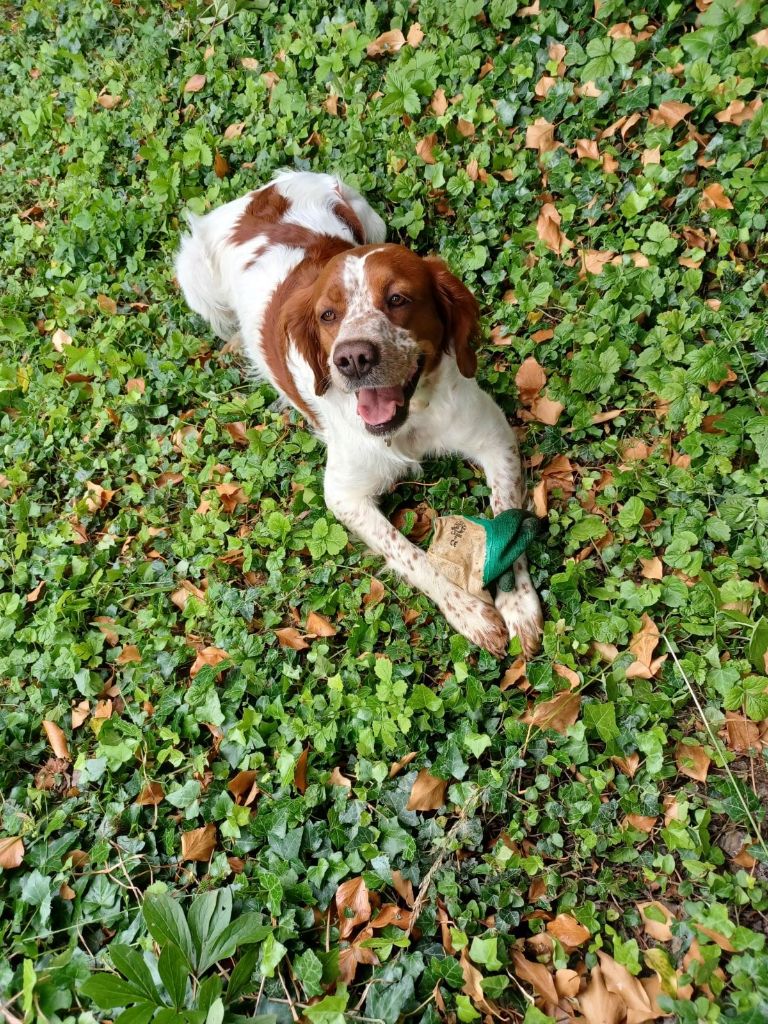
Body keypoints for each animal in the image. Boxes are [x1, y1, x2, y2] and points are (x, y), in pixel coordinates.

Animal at [177, 169, 544, 655]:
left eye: (398, 299)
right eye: (327, 315)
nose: (352, 358)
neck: (412, 420)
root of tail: (260, 192)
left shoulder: (494, 437)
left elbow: (507, 519)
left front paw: (517, 604)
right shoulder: (344, 494)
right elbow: (409, 554)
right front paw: (469, 612)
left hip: (372, 219)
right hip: (194, 279)